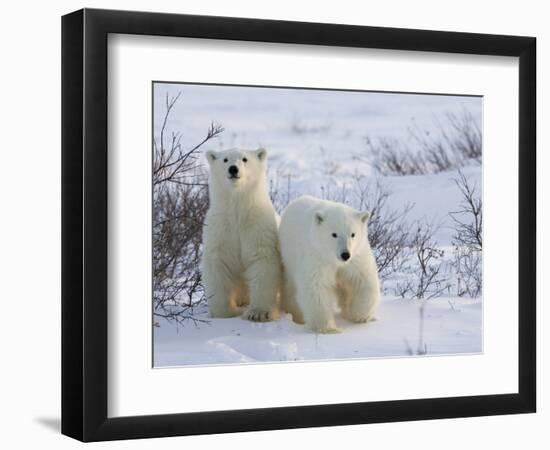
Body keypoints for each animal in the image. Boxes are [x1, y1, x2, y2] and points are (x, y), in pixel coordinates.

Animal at [201, 149, 282, 322]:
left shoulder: (258, 228)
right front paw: (225, 312)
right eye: (225, 159)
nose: (233, 169)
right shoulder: (220, 229)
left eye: (245, 159)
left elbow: (262, 261)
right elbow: (217, 264)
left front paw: (258, 313)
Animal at [280, 195, 380, 332]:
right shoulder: (317, 256)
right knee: (291, 289)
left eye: (353, 234)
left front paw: (360, 316)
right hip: (289, 257)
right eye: (334, 234)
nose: (345, 254)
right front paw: (328, 328)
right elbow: (317, 287)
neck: (334, 259)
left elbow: (363, 281)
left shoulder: (356, 257)